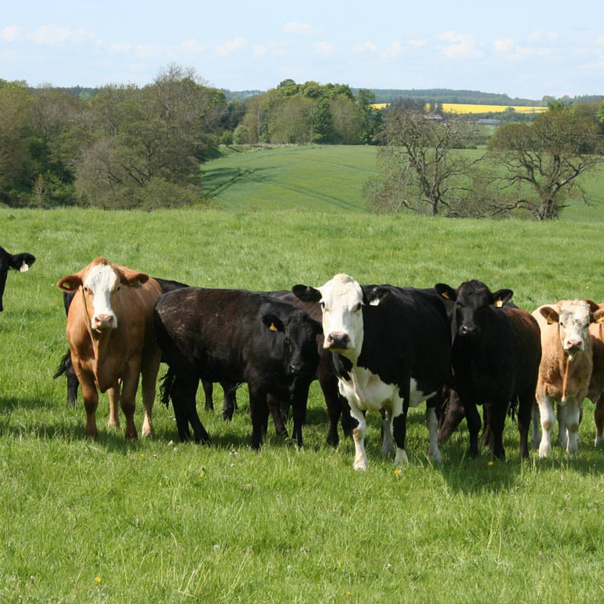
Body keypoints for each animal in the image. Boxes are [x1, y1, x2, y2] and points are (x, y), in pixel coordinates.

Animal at [54, 256, 160, 438]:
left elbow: (128, 401)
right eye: (86, 288)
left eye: (117, 287)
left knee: (148, 393)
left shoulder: (132, 363)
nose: (104, 319)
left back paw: (148, 429)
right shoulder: (78, 363)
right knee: (113, 393)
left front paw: (131, 435)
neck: (100, 340)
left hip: (152, 360)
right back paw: (113, 423)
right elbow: (90, 399)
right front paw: (91, 433)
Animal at [153, 286, 324, 448]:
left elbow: (298, 414)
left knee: (176, 395)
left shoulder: (302, 384)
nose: (297, 367)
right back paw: (202, 437)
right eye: (287, 339)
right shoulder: (256, 381)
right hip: (188, 370)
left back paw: (185, 436)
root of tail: (162, 300)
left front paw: (298, 443)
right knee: (185, 398)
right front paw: (256, 444)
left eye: (310, 340)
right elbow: (258, 413)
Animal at [290, 274, 450, 472]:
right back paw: (386, 448)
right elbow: (358, 429)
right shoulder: (346, 391)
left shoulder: (402, 387)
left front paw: (401, 463)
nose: (338, 338)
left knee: (432, 421)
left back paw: (434, 454)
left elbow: (399, 427)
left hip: (437, 386)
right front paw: (360, 463)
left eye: (358, 306)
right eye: (323, 304)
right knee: (387, 418)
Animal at [434, 280, 544, 460]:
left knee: (523, 420)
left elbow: (497, 423)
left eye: (484, 306)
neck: (477, 355)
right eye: (459, 303)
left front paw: (499, 454)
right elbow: (474, 421)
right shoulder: (464, 389)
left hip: (529, 385)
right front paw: (473, 452)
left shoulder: (504, 390)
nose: (469, 329)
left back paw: (523, 454)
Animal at [532, 300, 604, 456]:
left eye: (587, 324)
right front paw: (544, 451)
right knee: (535, 414)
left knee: (561, 416)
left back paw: (562, 440)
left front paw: (572, 451)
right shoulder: (542, 389)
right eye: (561, 323)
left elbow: (573, 423)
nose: (574, 343)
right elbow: (546, 421)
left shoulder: (578, 393)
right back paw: (535, 440)